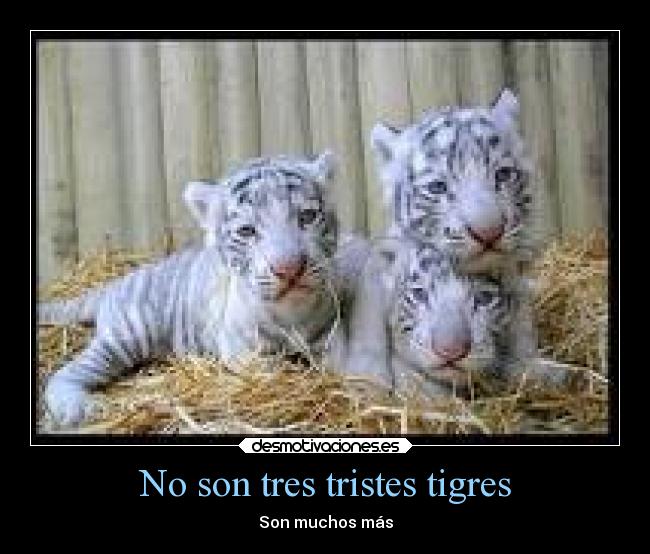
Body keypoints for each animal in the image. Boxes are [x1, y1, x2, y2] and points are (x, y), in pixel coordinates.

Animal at [39, 151, 364, 426]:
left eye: (307, 217)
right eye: (247, 231)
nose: (289, 269)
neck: (291, 315)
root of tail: (115, 283)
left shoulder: (329, 332)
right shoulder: (243, 351)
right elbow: (271, 371)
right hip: (127, 334)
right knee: (69, 371)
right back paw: (77, 407)